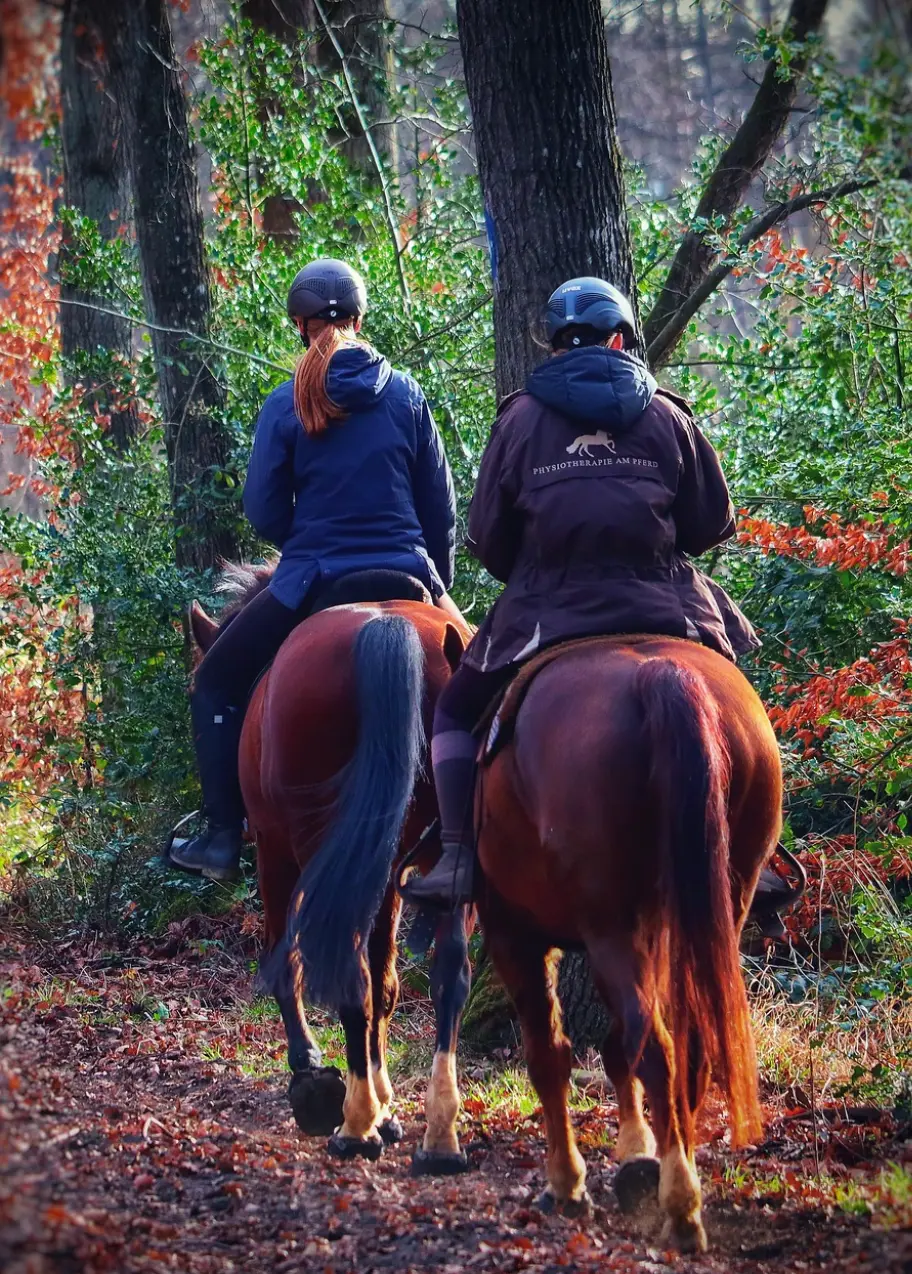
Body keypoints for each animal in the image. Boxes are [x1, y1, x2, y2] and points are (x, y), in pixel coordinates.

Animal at [187, 566, 476, 1170]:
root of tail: (389, 629)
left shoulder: (275, 851)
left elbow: (285, 962)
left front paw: (315, 1077)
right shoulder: (384, 873)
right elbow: (387, 984)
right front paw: (387, 1107)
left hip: (304, 842)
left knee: (344, 969)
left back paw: (354, 1126)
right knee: (447, 975)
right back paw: (438, 1135)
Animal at [423, 635, 782, 1252]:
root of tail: (663, 677)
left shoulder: (516, 935)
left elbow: (549, 1055)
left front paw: (568, 1184)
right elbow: (616, 1049)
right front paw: (637, 1154)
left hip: (609, 928)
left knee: (658, 1049)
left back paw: (681, 1206)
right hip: (715, 906)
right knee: (687, 1045)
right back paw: (676, 1175)